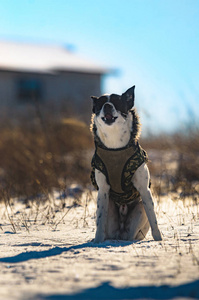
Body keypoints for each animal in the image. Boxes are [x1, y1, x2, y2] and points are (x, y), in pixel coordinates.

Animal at [90, 85, 162, 243]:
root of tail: (120, 234)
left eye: (117, 102)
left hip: (139, 211)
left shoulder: (144, 190)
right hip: (108, 207)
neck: (115, 147)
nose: (107, 105)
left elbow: (154, 219)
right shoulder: (103, 190)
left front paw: (159, 240)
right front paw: (97, 242)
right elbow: (100, 221)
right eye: (101, 104)